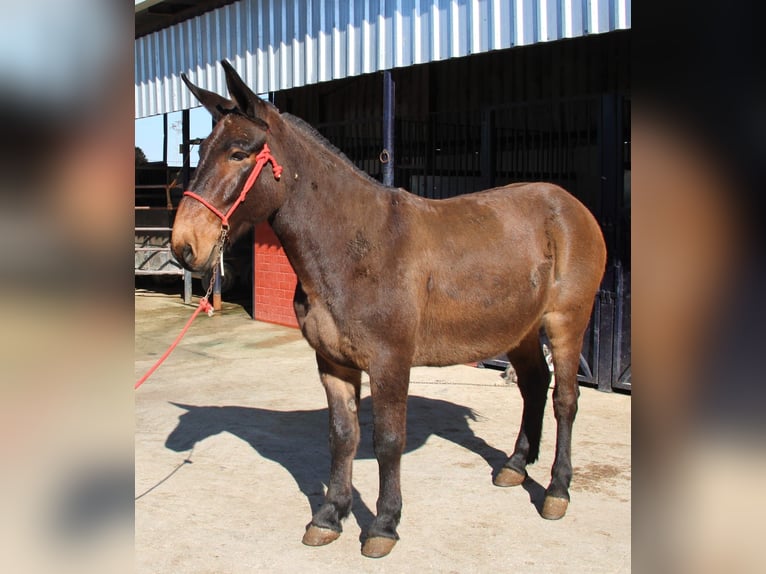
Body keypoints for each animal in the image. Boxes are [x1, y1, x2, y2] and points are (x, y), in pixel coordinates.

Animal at [171, 60, 606, 558]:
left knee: (565, 400)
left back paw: (557, 490)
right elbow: (342, 436)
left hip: (566, 323)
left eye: (240, 153)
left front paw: (383, 524)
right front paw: (329, 516)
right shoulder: (334, 363)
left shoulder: (390, 363)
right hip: (519, 328)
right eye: (202, 150)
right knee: (534, 385)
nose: (184, 246)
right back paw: (515, 465)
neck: (356, 245)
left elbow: (388, 441)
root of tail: (569, 206)